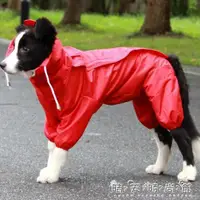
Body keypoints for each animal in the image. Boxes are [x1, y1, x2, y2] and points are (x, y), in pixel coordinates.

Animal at [0, 17, 200, 183]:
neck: (61, 70)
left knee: (182, 136)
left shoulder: (76, 114)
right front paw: (50, 171)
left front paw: (51, 175)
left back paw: (189, 173)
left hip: (167, 102)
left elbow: (60, 146)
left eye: (25, 49)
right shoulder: (52, 116)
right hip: (150, 106)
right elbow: (52, 145)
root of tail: (168, 59)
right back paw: (159, 168)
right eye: (14, 47)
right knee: (165, 137)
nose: (2, 65)